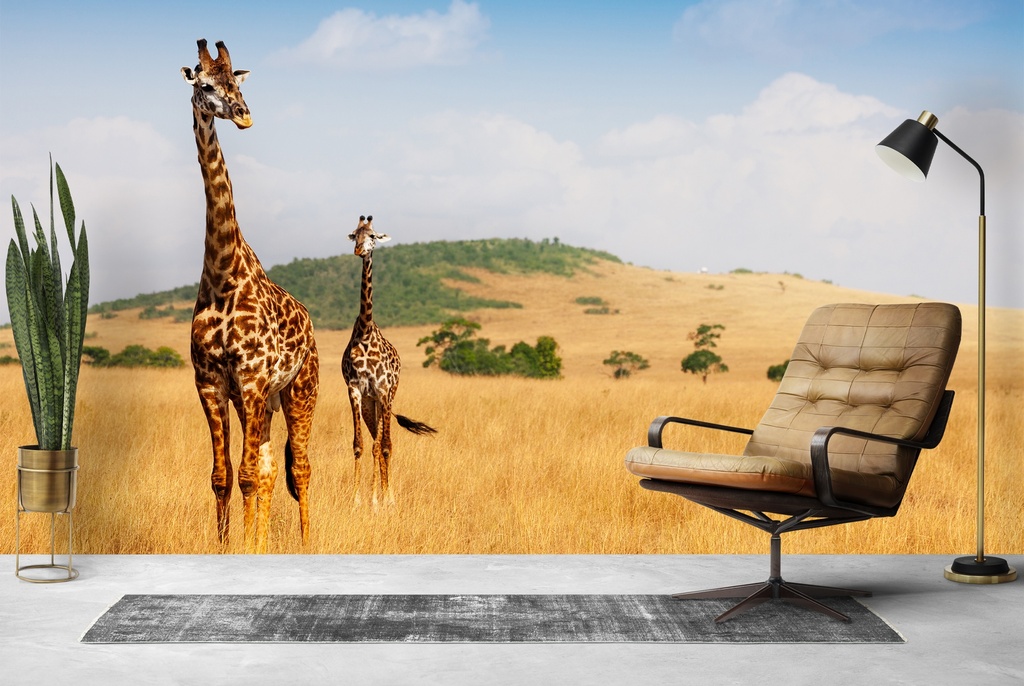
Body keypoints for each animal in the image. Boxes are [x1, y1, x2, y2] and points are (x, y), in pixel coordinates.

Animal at [181, 39, 319, 553]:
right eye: (204, 85)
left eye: (236, 83)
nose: (243, 116)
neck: (222, 273)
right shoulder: (211, 381)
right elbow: (223, 477)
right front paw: (228, 548)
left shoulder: (254, 378)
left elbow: (244, 476)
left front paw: (245, 548)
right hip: (259, 401)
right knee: (267, 467)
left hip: (301, 390)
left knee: (299, 468)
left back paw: (305, 543)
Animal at [343, 215, 436, 507]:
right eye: (354, 234)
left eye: (373, 236)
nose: (358, 250)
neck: (364, 331)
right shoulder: (355, 391)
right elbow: (360, 444)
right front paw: (357, 500)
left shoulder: (383, 390)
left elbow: (383, 446)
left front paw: (382, 501)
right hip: (371, 404)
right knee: (375, 439)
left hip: (388, 396)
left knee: (385, 443)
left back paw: (386, 496)